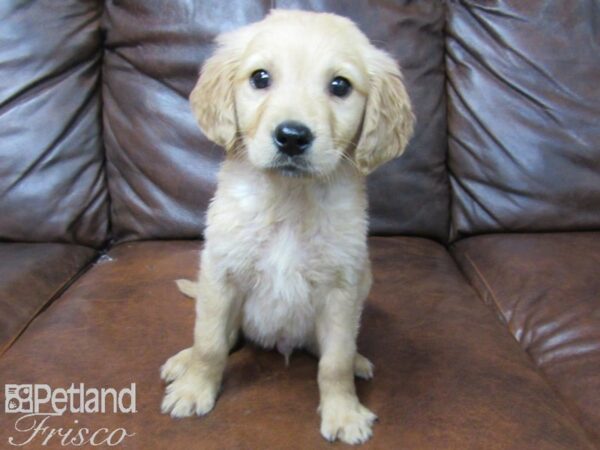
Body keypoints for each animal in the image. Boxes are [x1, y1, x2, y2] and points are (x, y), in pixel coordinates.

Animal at [159, 8, 412, 444]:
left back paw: (359, 361)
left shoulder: (343, 288)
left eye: (340, 85)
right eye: (260, 78)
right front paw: (195, 389)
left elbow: (335, 362)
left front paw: (344, 413)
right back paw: (183, 361)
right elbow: (209, 342)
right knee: (224, 337)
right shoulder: (221, 273)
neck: (290, 198)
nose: (292, 137)